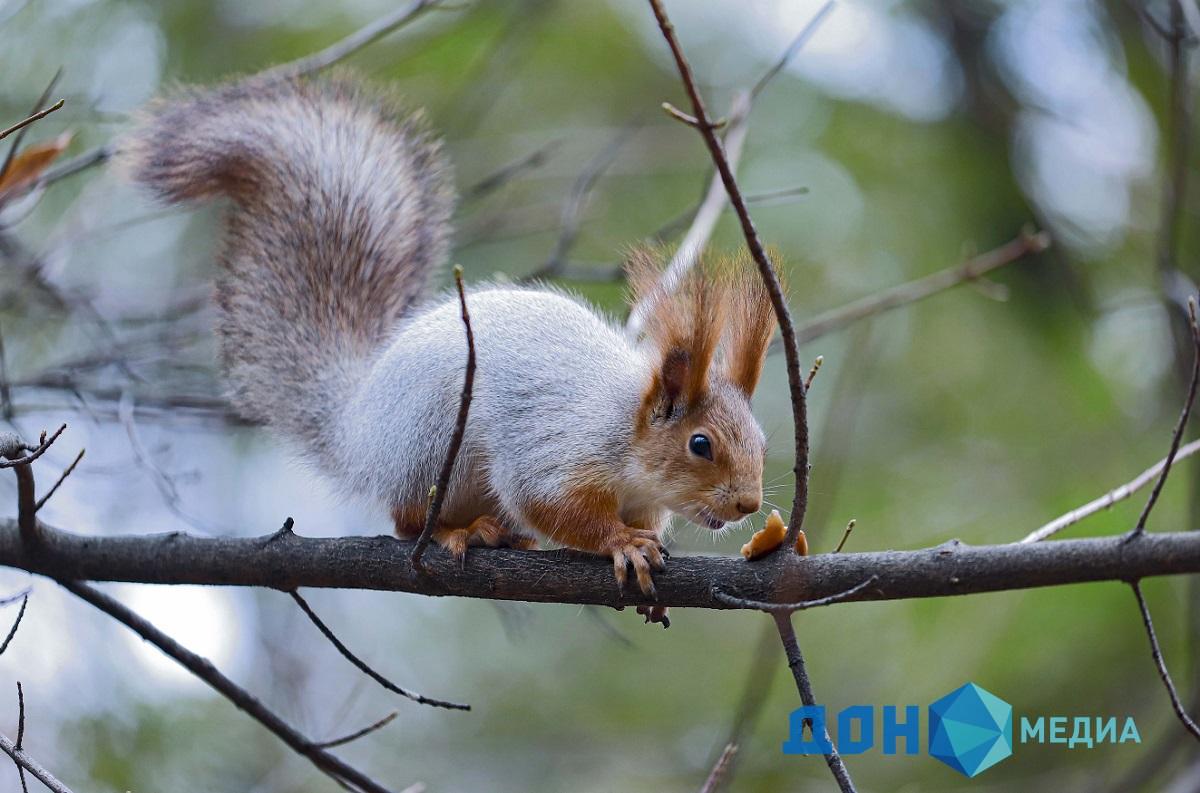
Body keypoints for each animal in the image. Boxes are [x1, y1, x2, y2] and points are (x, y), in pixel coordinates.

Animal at [117, 74, 772, 597]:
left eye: (762, 442)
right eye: (700, 444)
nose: (748, 504)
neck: (629, 436)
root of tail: (357, 428)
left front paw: (643, 544)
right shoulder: (558, 449)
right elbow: (551, 504)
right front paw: (620, 542)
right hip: (433, 447)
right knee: (407, 521)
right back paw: (464, 531)